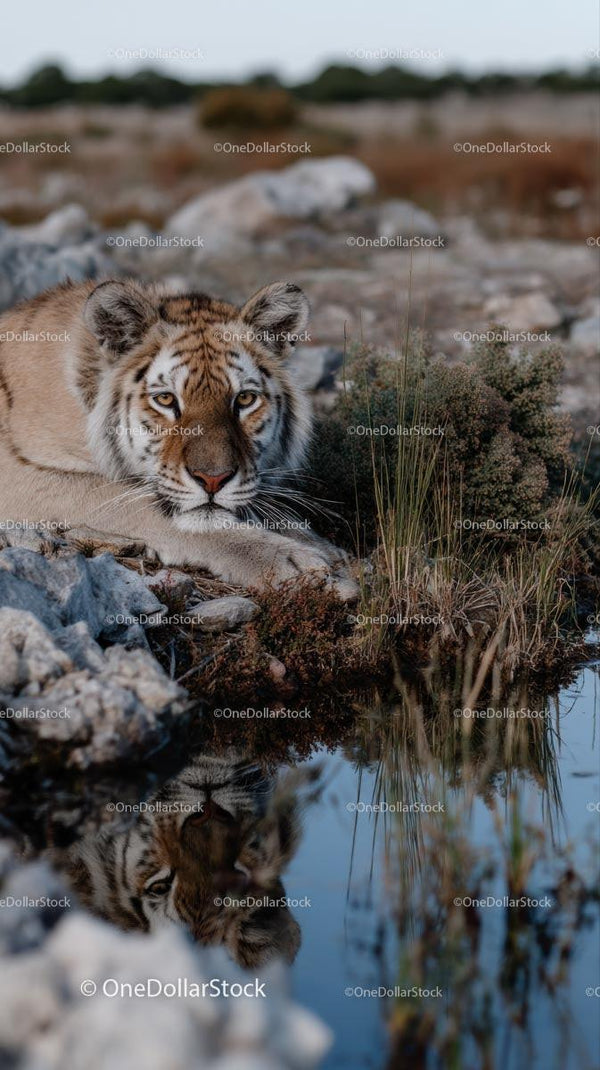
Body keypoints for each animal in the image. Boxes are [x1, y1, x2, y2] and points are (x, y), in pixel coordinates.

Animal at [0, 278, 356, 595]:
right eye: (166, 399)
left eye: (244, 399)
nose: (213, 480)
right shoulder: (22, 476)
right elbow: (149, 508)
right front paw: (289, 559)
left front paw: (322, 545)